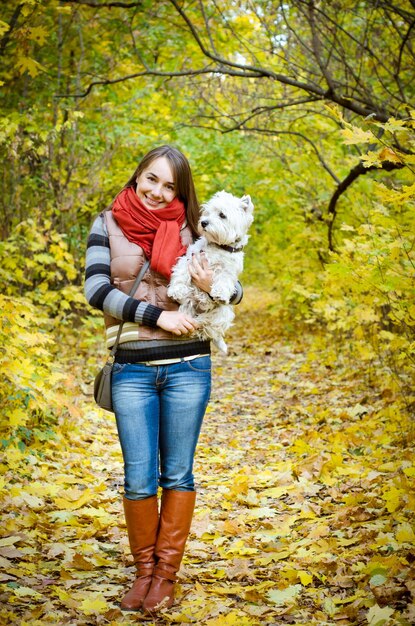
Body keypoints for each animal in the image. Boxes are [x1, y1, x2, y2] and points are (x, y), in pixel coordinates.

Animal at [168, 190, 254, 352]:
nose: (204, 222)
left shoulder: (228, 272)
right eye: (207, 212)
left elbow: (224, 281)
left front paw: (219, 293)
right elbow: (181, 273)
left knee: (209, 327)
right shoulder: (191, 258)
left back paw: (200, 323)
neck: (219, 246)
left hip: (224, 312)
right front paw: (177, 290)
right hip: (188, 304)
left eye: (222, 215)